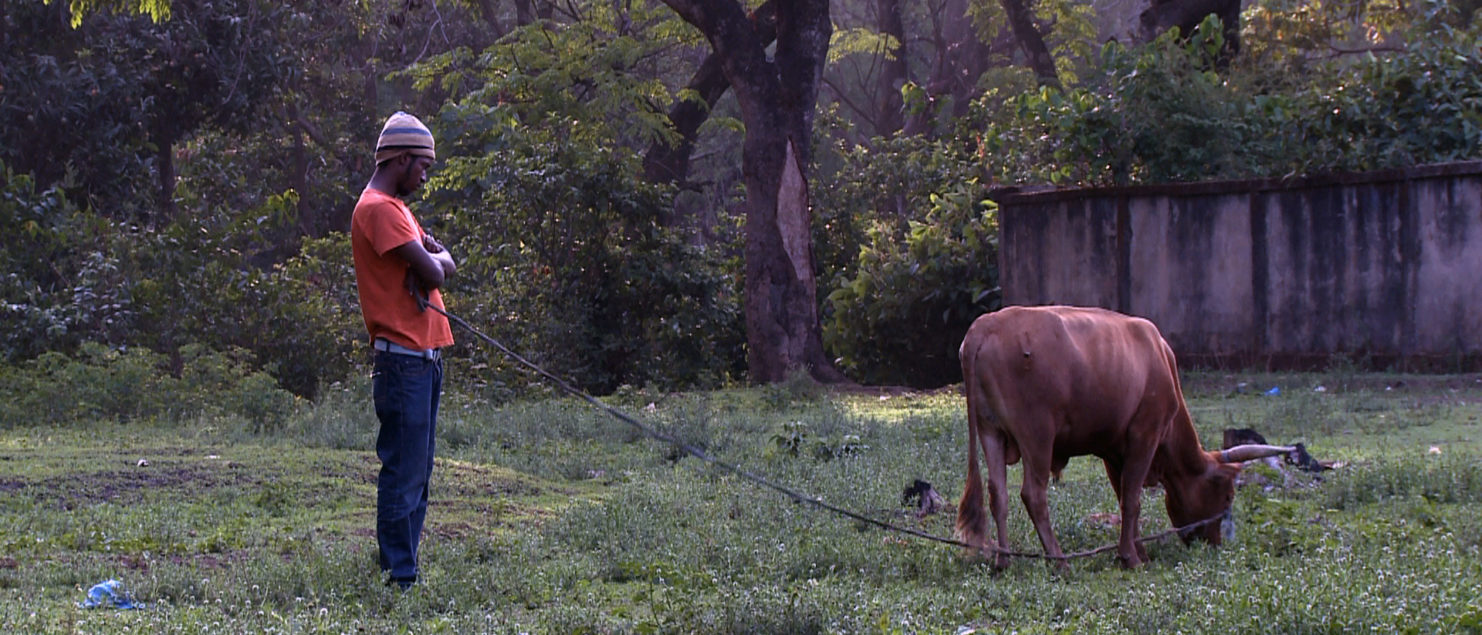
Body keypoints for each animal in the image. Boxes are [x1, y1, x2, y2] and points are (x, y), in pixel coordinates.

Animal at [954, 305, 1292, 566]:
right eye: (1227, 495)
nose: (1215, 543)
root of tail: (985, 326)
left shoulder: (1112, 448)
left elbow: (1123, 497)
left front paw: (1136, 551)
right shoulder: (1145, 433)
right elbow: (1132, 499)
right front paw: (1131, 558)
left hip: (991, 431)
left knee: (998, 493)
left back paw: (1004, 561)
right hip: (1037, 434)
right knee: (1033, 494)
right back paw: (1059, 560)